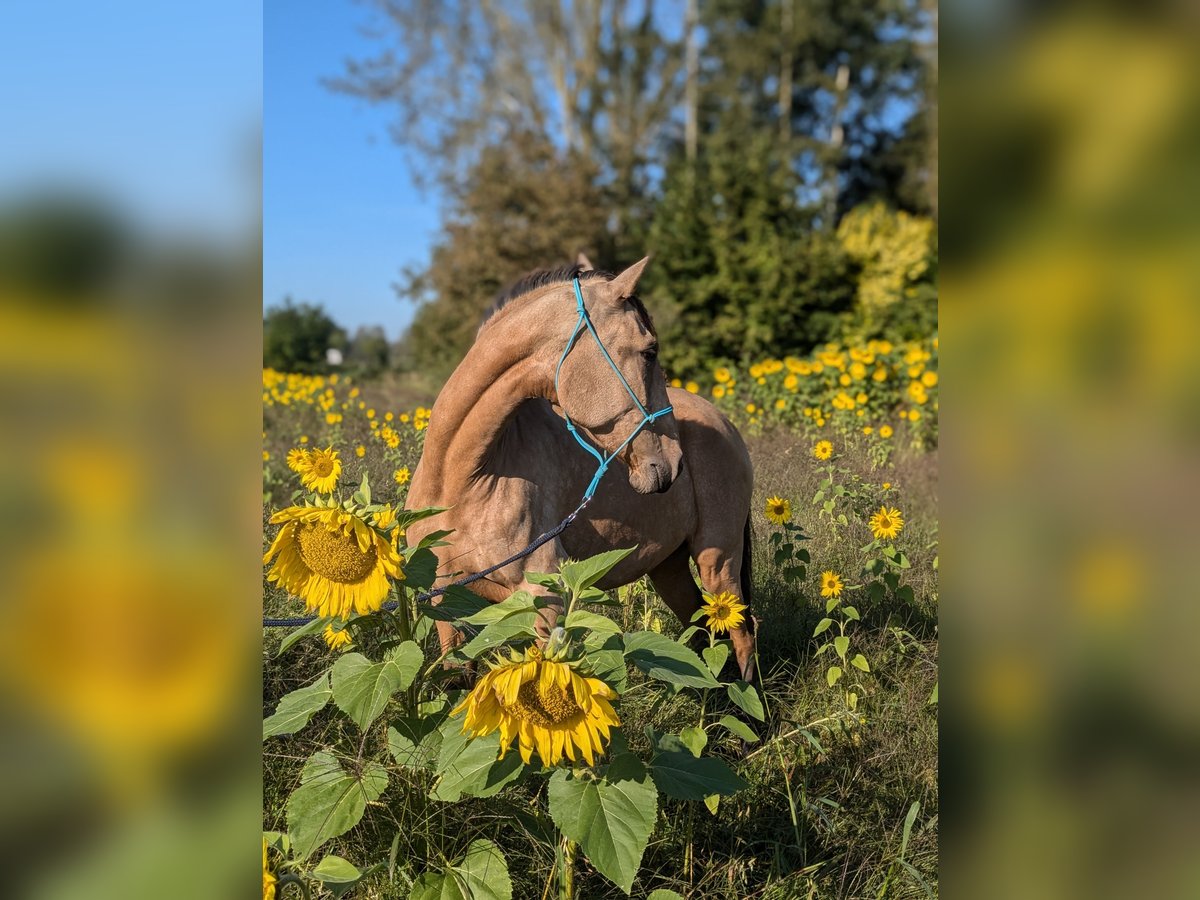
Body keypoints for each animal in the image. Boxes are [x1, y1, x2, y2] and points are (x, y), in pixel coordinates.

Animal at [408, 256, 753, 681]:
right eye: (650, 351)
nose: (673, 464)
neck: (461, 481)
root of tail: (723, 421)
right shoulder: (445, 604)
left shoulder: (544, 602)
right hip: (668, 566)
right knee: (703, 630)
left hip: (718, 559)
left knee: (741, 634)